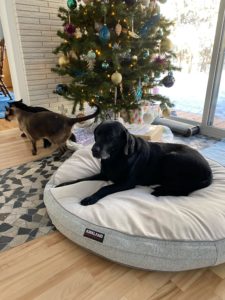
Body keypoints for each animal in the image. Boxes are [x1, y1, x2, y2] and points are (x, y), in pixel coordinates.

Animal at [56, 120, 213, 205]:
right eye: (96, 134)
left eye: (110, 137)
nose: (94, 150)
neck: (116, 158)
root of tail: (210, 173)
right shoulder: (104, 175)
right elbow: (80, 178)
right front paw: (62, 184)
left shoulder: (127, 183)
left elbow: (104, 188)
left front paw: (90, 198)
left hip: (171, 158)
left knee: (184, 191)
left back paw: (160, 190)